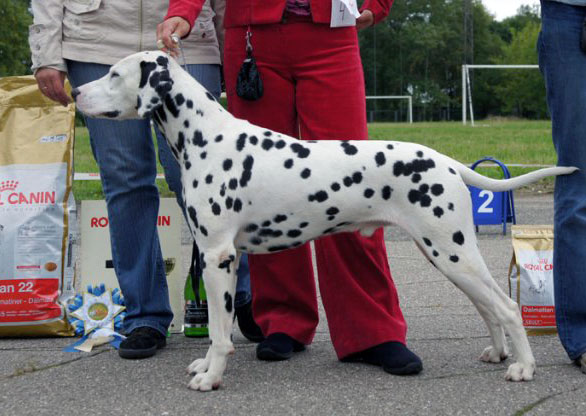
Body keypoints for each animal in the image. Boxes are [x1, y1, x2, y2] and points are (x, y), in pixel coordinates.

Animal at [72, 52, 576, 390]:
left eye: (113, 73)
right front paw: (205, 368)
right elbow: (217, 326)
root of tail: (447, 161)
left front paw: (211, 376)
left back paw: (523, 367)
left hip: (452, 252)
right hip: (449, 255)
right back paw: (498, 353)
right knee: (489, 307)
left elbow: (218, 331)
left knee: (507, 307)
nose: (75, 92)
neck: (207, 138)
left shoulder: (218, 258)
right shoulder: (220, 258)